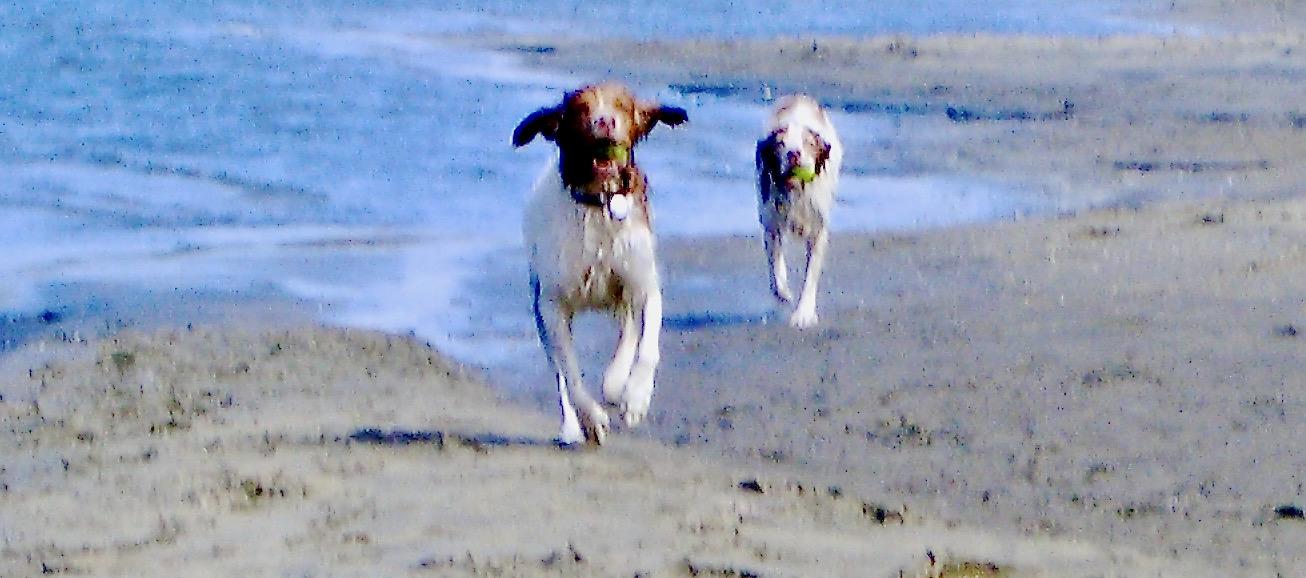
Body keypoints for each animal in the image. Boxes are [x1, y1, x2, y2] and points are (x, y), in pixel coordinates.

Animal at [511, 81, 689, 446]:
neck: (599, 204)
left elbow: (645, 346)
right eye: (582, 109)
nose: (605, 122)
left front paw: (633, 397)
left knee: (629, 331)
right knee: (559, 373)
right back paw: (570, 427)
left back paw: (617, 383)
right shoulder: (553, 305)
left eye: (621, 105)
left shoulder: (644, 286)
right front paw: (591, 419)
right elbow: (570, 372)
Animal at [757, 96, 846, 327]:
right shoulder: (771, 224)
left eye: (809, 143)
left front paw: (804, 314)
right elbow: (776, 267)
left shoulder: (818, 231)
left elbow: (810, 276)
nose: (794, 153)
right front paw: (783, 293)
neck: (796, 191)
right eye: (781, 143)